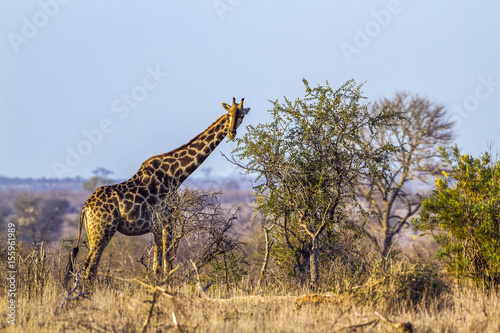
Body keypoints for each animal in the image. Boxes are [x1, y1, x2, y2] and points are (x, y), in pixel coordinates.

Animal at [63, 96, 249, 286]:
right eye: (228, 115)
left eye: (241, 116)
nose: (231, 133)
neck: (176, 175)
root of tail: (86, 207)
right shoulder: (168, 220)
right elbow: (167, 261)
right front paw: (169, 288)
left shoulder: (157, 227)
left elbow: (156, 266)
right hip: (102, 232)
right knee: (90, 269)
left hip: (93, 234)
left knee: (86, 267)